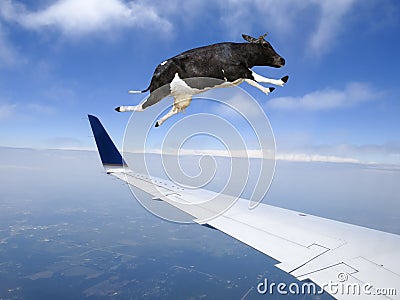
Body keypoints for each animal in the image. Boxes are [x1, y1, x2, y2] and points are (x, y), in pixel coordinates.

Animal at [115, 33, 288, 127]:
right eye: (266, 45)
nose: (283, 60)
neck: (239, 54)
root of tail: (156, 70)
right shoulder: (237, 71)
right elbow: (255, 76)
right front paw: (281, 81)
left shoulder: (238, 75)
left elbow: (253, 81)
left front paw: (268, 89)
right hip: (157, 93)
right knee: (142, 107)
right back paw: (120, 108)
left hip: (183, 96)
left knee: (176, 108)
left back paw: (159, 122)